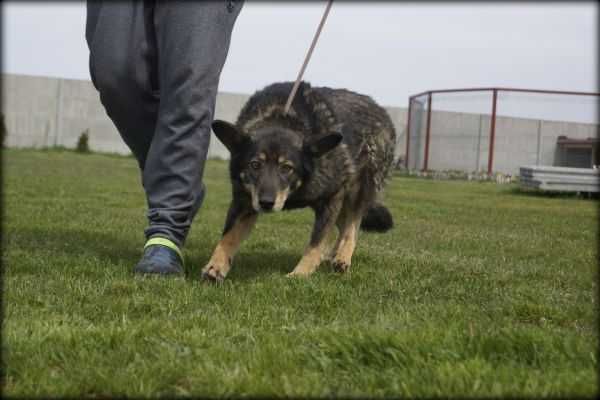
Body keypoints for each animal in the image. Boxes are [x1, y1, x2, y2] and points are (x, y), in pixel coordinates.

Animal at [204, 81, 396, 282]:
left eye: (287, 168)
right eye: (255, 165)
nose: (266, 203)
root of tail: (379, 108)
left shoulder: (333, 195)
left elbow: (317, 241)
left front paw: (301, 273)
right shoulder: (244, 203)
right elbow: (228, 236)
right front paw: (216, 266)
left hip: (360, 189)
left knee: (352, 225)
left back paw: (342, 258)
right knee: (343, 225)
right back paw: (333, 255)